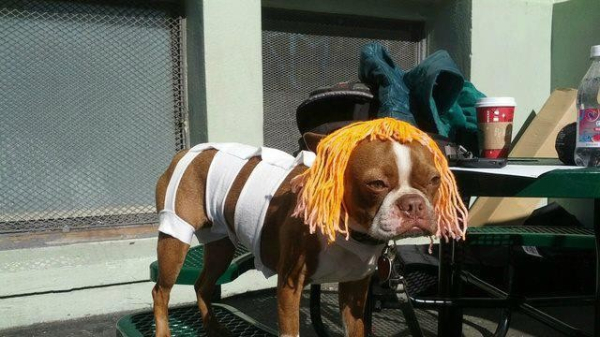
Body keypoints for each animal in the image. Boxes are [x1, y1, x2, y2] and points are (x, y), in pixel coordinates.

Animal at [152, 124, 458, 336]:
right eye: (376, 184)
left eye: (434, 180)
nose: (413, 204)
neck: (350, 231)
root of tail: (187, 151)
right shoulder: (290, 283)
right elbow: (292, 330)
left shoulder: (355, 291)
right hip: (174, 239)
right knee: (160, 291)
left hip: (221, 245)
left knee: (202, 284)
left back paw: (213, 327)